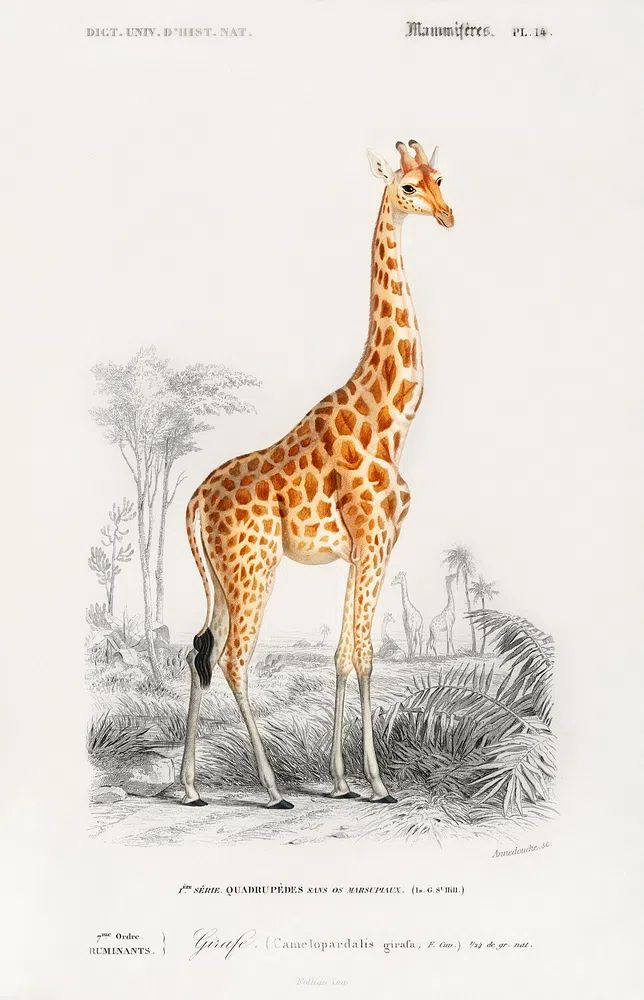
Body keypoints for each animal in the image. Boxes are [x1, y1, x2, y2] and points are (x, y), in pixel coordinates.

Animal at [180, 139, 454, 809]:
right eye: (407, 187)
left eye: (440, 178)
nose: (447, 215)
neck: (391, 420)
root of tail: (194, 500)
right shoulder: (374, 540)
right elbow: (365, 654)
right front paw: (376, 784)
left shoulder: (365, 549)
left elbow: (342, 654)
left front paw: (341, 781)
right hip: (253, 568)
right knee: (233, 659)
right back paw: (273, 789)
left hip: (223, 577)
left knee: (199, 649)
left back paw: (190, 788)